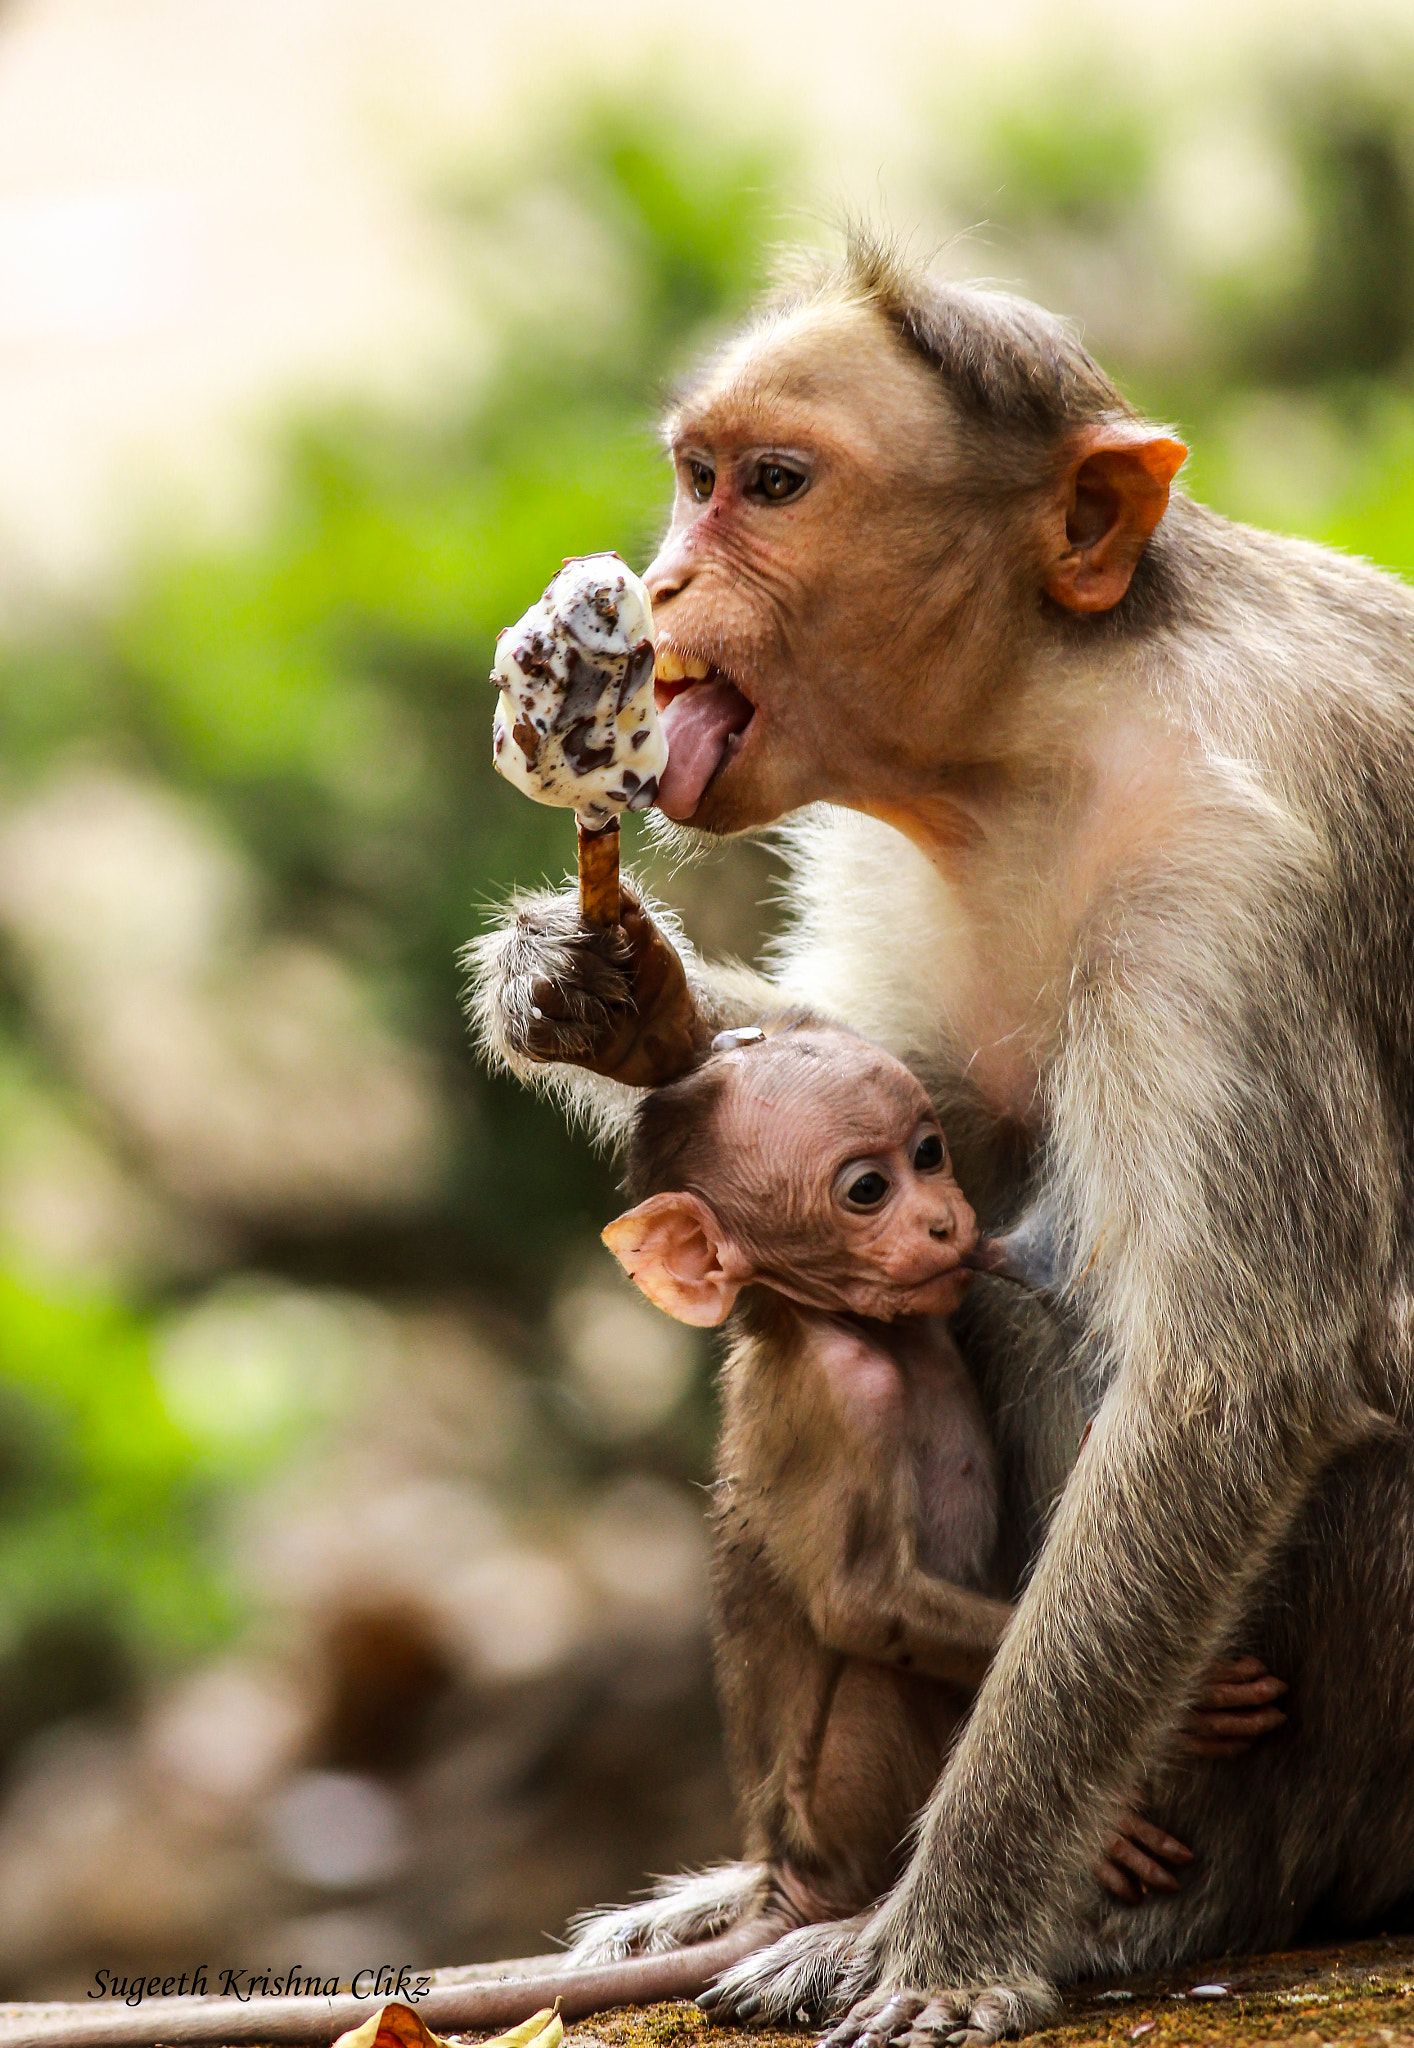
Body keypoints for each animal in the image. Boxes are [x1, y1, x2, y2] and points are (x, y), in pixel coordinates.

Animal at [590, 1024, 1278, 1949]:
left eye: (928, 1152)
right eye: (867, 1190)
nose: (945, 1219)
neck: (831, 1322)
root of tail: (787, 1870)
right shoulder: (848, 1403)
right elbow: (861, 1602)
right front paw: (1193, 1692)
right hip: (853, 1792)